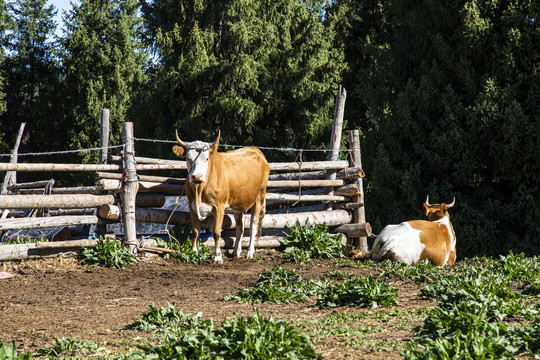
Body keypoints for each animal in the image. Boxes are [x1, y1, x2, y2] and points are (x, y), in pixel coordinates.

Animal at [173, 131, 270, 262]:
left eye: (206, 158)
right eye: (188, 158)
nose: (197, 177)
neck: (200, 190)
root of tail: (255, 150)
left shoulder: (219, 207)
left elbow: (216, 232)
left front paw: (218, 256)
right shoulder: (192, 206)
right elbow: (195, 231)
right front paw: (193, 252)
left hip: (259, 197)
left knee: (253, 226)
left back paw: (250, 252)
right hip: (238, 203)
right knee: (240, 227)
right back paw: (236, 251)